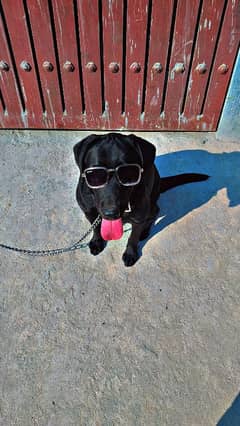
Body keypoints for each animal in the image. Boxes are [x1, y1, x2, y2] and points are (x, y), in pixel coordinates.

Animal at [73, 133, 208, 266]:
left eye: (129, 173)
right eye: (94, 175)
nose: (111, 213)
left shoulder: (138, 218)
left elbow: (133, 237)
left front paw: (130, 253)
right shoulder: (89, 211)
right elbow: (95, 228)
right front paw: (97, 241)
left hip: (151, 206)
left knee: (154, 214)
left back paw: (145, 231)